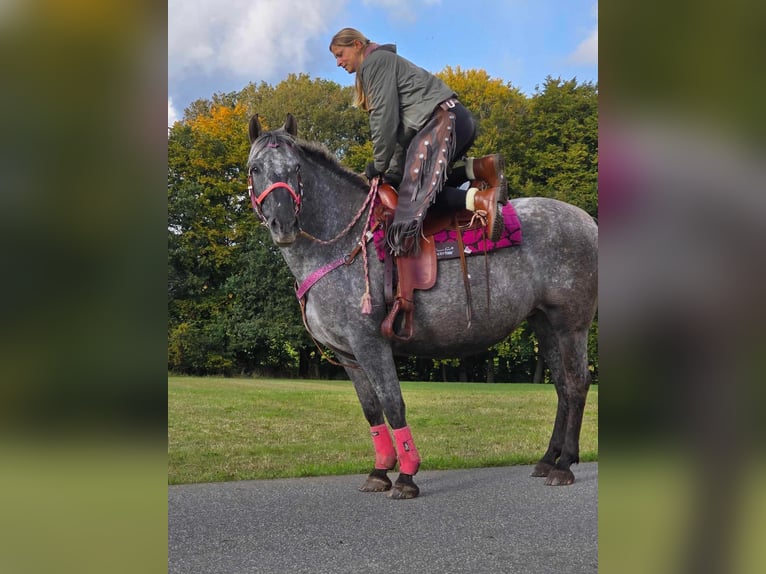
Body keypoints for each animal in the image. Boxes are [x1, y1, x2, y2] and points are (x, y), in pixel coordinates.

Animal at [246, 112, 600, 500]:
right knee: (562, 386)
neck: (344, 242)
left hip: (571, 325)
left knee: (577, 383)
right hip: (544, 324)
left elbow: (393, 403)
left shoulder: (371, 343)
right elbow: (371, 409)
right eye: (254, 168)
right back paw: (548, 459)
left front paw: (406, 474)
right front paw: (380, 471)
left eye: (295, 168)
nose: (283, 224)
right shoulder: (347, 353)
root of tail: (589, 221)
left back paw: (564, 465)